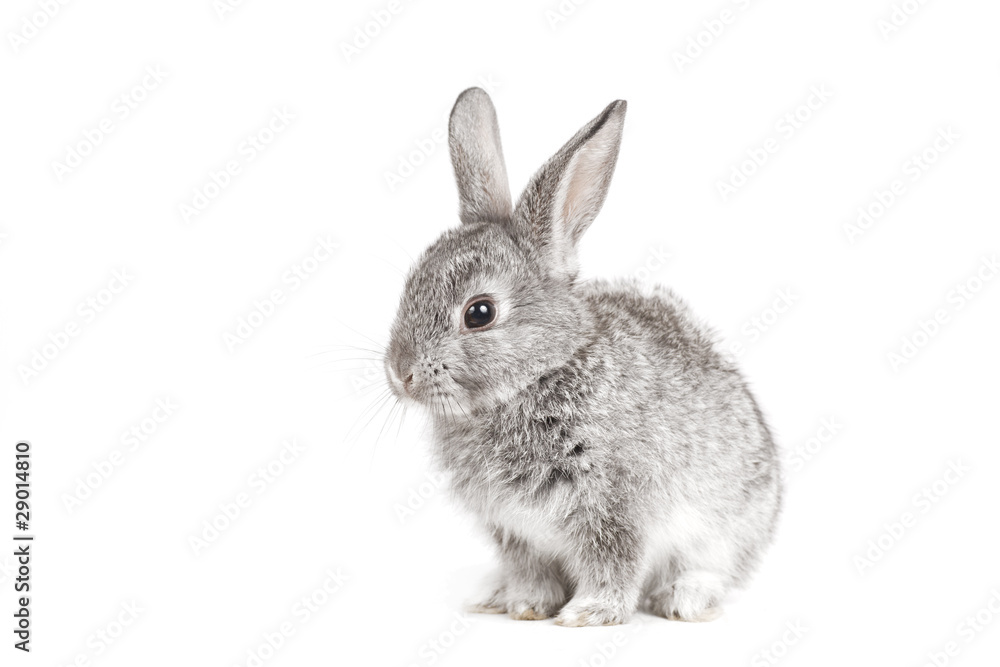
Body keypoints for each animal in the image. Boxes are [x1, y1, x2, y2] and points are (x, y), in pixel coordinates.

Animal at [383, 87, 782, 627]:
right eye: (411, 285)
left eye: (479, 312)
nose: (399, 372)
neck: (537, 375)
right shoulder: (513, 531)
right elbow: (528, 569)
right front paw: (527, 605)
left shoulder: (615, 506)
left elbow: (613, 561)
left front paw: (588, 613)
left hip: (727, 527)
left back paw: (685, 598)